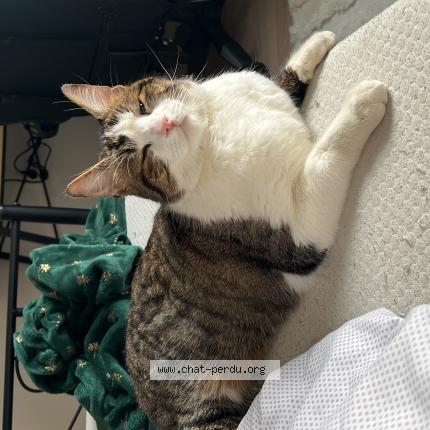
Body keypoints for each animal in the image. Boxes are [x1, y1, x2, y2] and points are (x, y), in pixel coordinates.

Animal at [62, 31, 387, 430]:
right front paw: (363, 101)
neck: (213, 130)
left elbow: (282, 78)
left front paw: (316, 43)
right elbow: (326, 156)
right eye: (146, 156)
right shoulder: (299, 237)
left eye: (141, 106)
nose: (165, 124)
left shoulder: (260, 91)